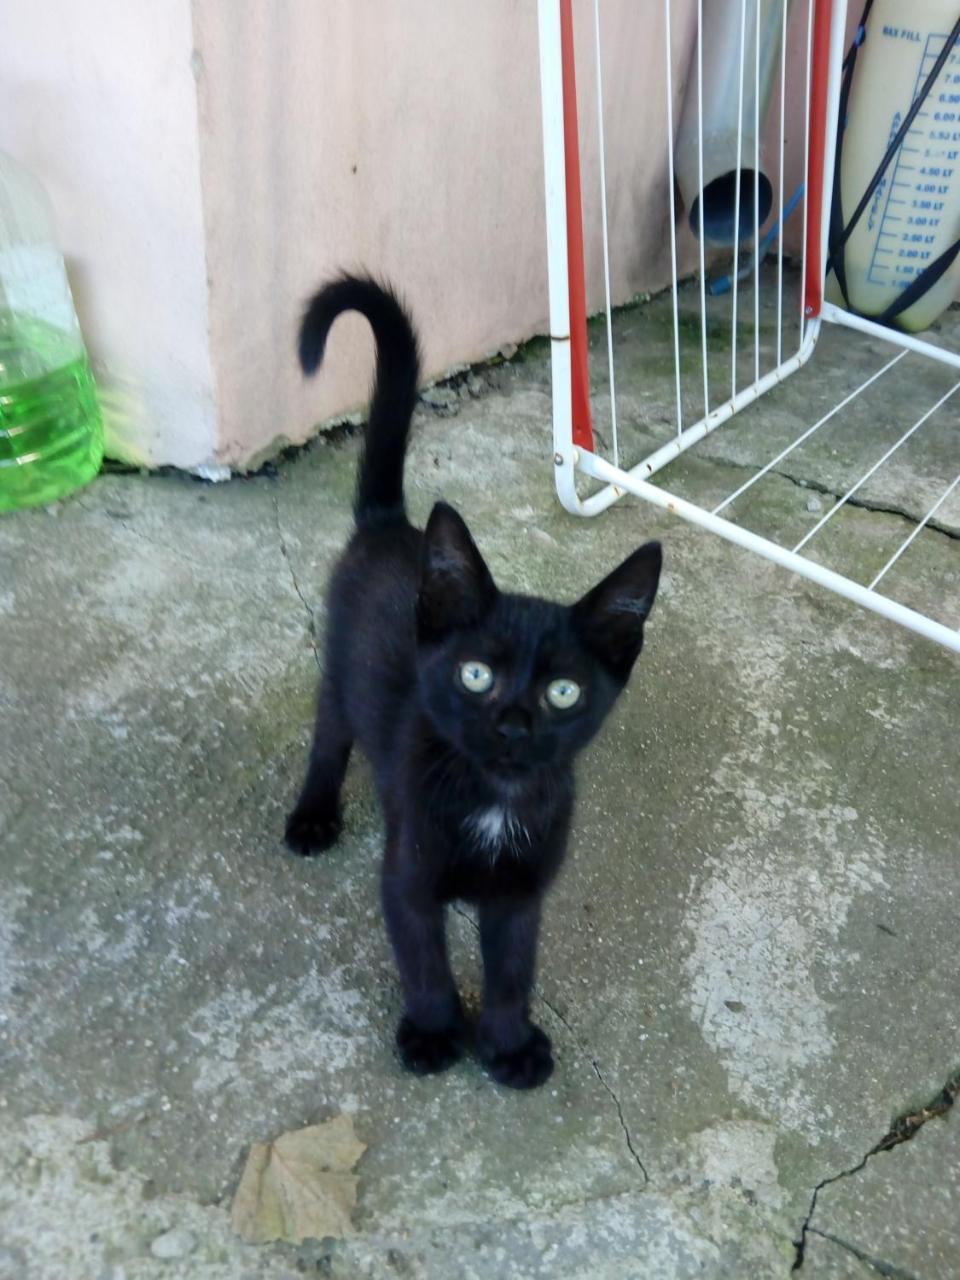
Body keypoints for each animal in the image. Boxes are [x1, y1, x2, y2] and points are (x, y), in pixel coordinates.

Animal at [285, 275, 660, 1085]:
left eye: (562, 691)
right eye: (477, 673)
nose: (513, 726)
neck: (493, 800)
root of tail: (390, 524)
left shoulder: (522, 891)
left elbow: (514, 966)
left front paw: (509, 1042)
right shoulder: (406, 876)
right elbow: (422, 956)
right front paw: (433, 1032)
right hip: (340, 673)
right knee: (330, 735)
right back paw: (313, 815)